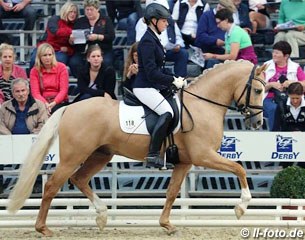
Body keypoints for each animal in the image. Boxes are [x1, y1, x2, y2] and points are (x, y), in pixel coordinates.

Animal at [8, 60, 264, 236]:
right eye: (259, 90)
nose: (258, 123)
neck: (202, 105)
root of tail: (70, 107)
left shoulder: (184, 162)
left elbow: (172, 192)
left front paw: (167, 224)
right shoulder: (204, 156)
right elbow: (239, 168)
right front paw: (241, 207)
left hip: (101, 154)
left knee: (79, 179)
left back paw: (102, 216)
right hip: (74, 156)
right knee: (52, 185)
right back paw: (43, 228)